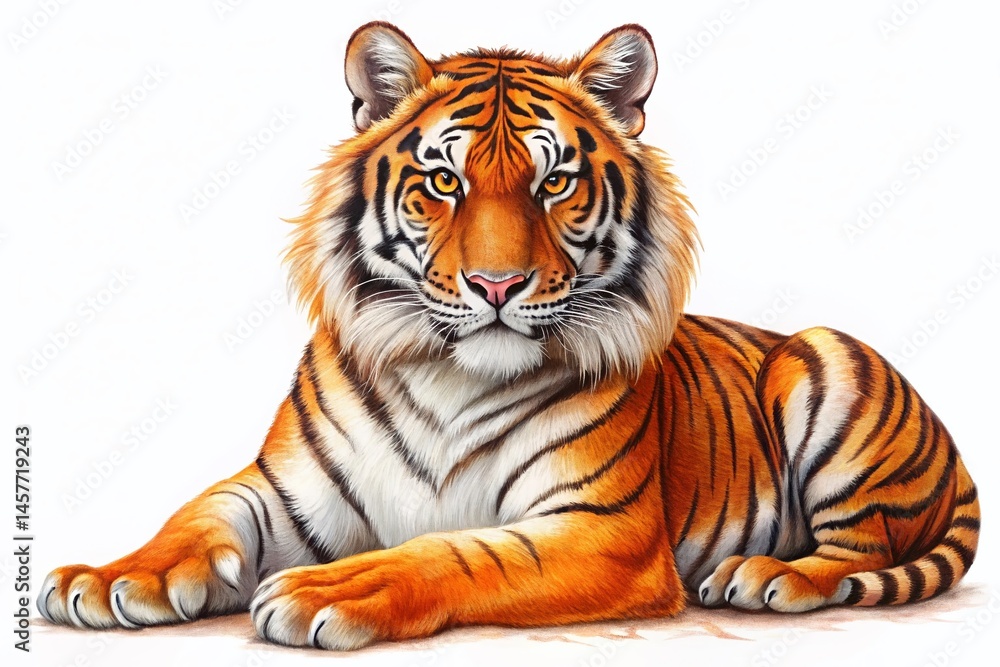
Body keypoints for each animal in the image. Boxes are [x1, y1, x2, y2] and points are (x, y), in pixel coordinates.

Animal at [39, 22, 980, 650]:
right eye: (443, 183)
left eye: (554, 182)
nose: (497, 285)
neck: (450, 378)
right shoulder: (284, 487)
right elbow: (195, 517)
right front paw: (105, 578)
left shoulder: (602, 527)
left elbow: (451, 553)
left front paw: (332, 586)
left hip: (820, 358)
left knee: (857, 546)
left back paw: (768, 574)